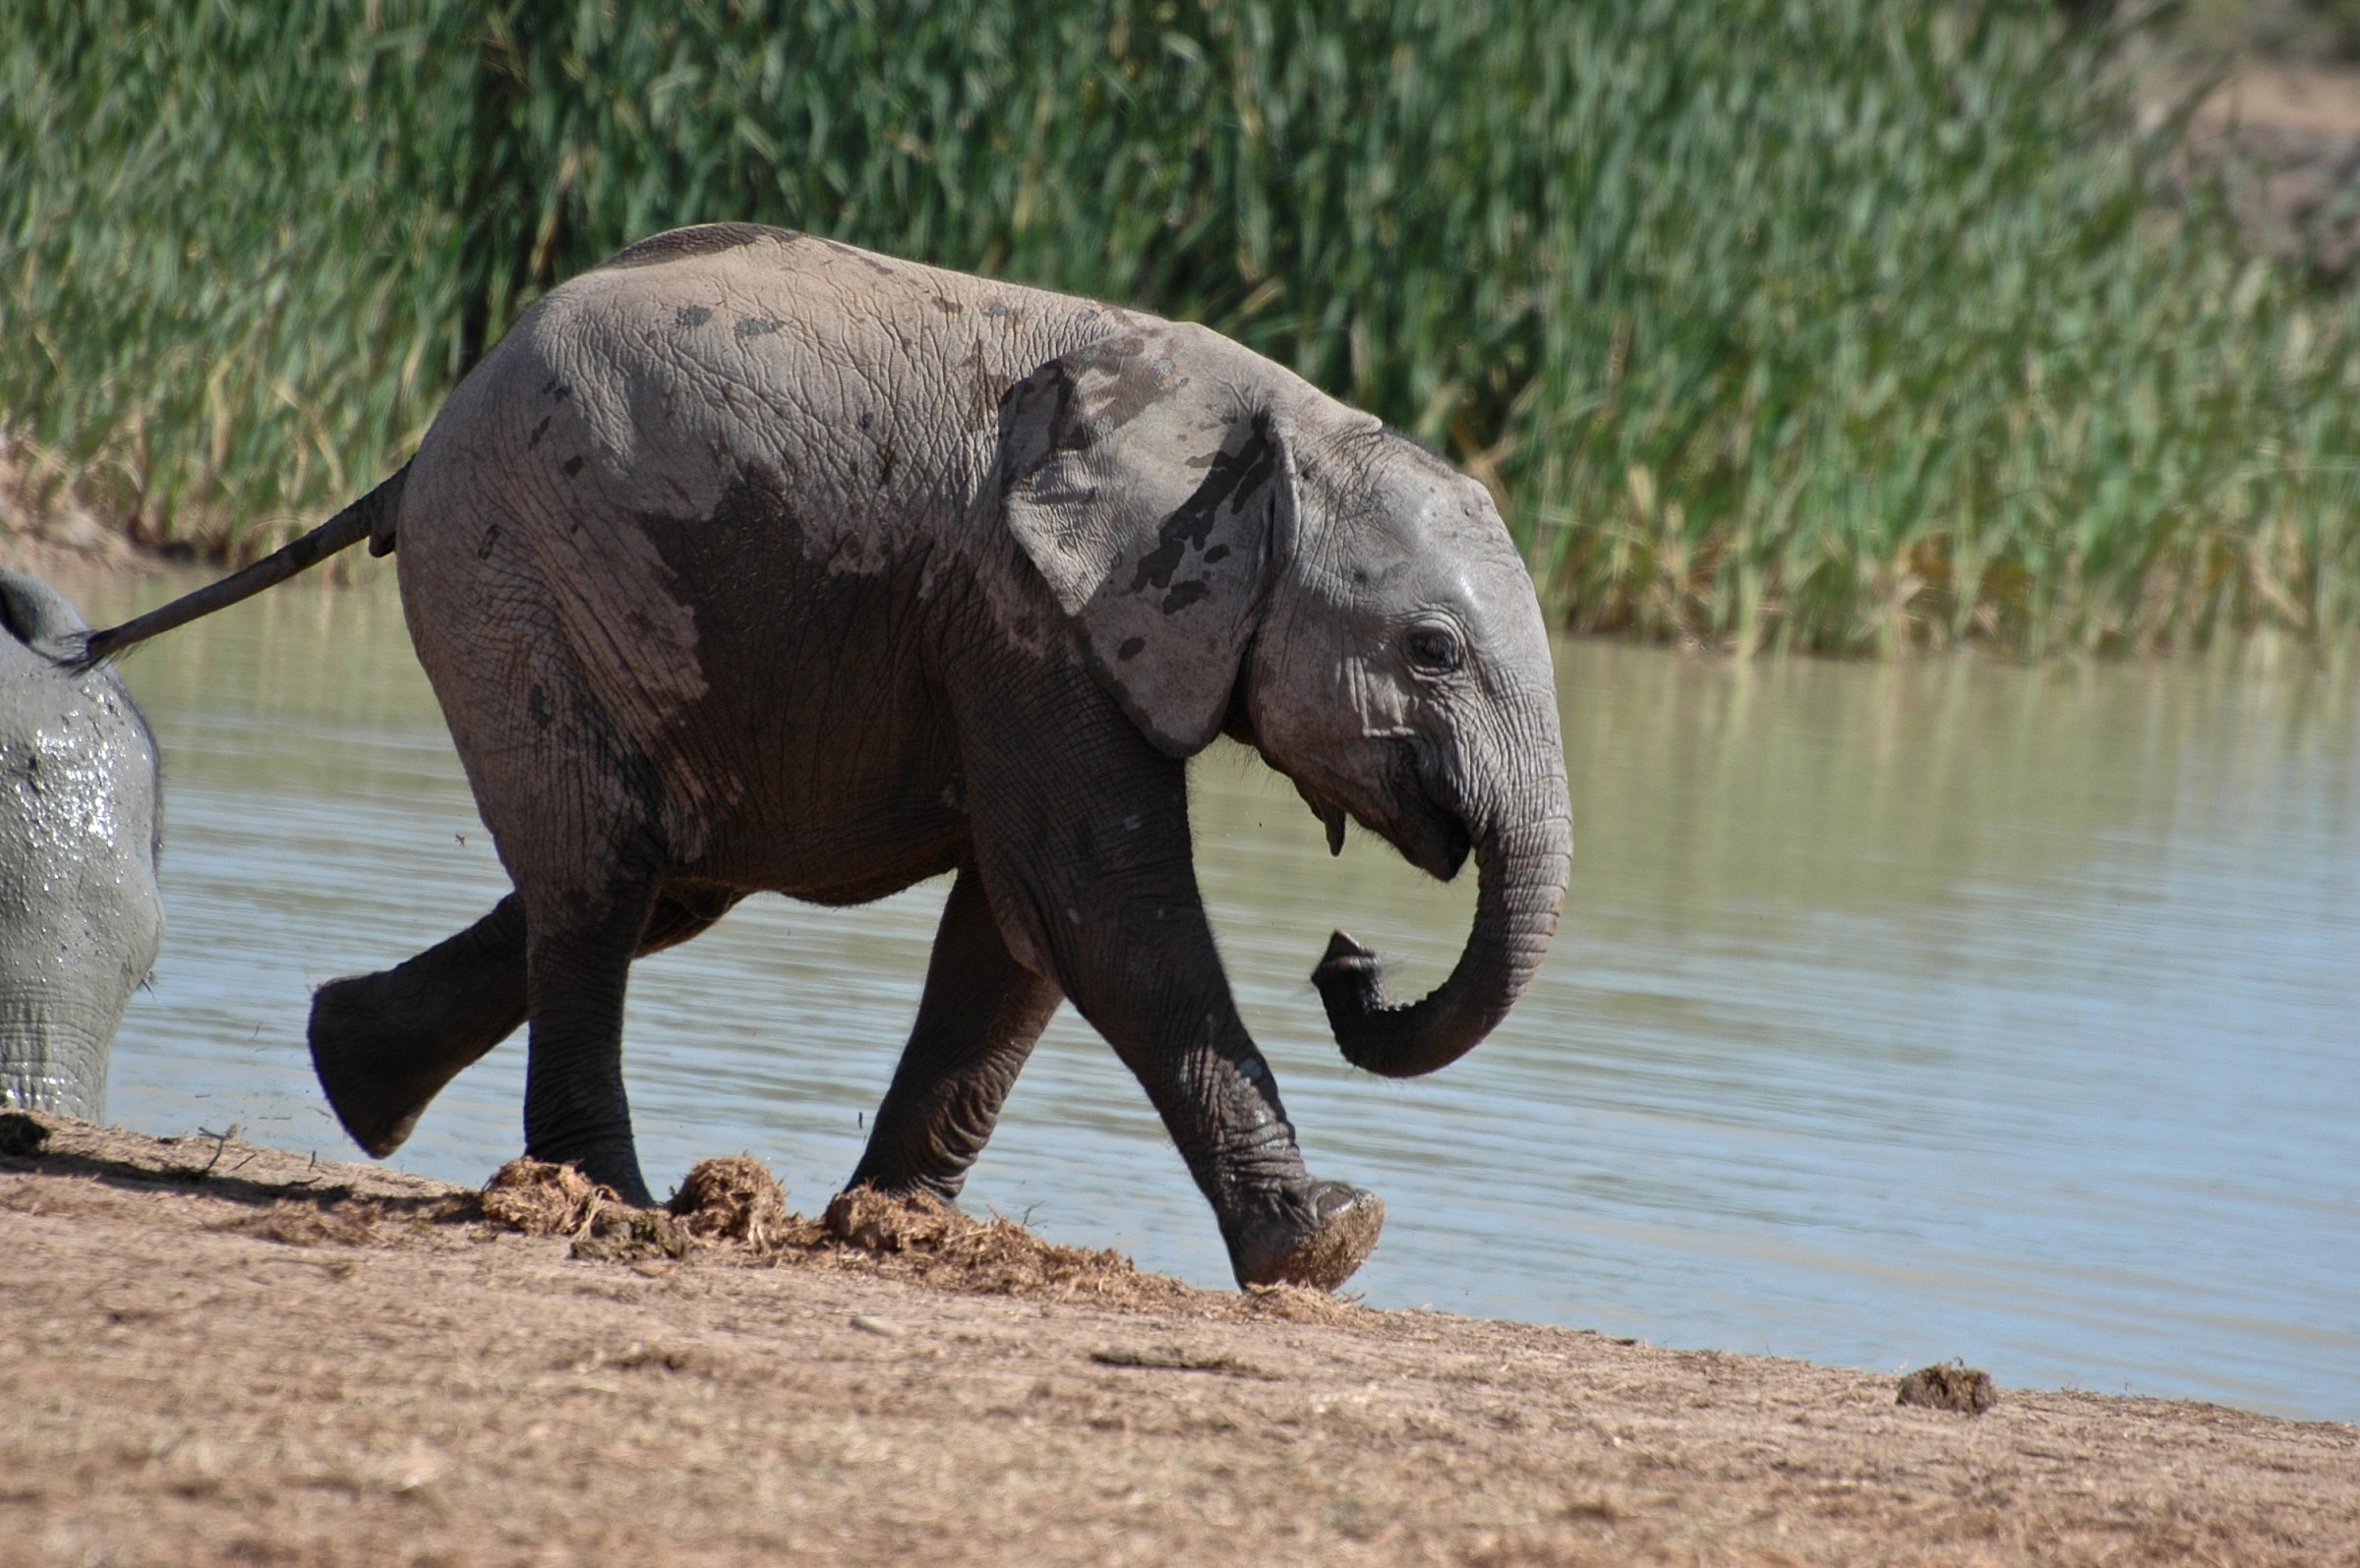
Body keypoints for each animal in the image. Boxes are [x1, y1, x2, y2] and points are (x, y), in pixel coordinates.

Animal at [80, 224, 1571, 1289]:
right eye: (1433, 650)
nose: (1347, 956)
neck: (1271, 417)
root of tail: (415, 451)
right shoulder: (1026, 610)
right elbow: (1098, 901)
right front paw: (1331, 1238)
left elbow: (1017, 929)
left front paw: (898, 1226)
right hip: (514, 565)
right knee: (600, 878)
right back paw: (616, 1204)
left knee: (660, 882)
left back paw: (357, 1073)